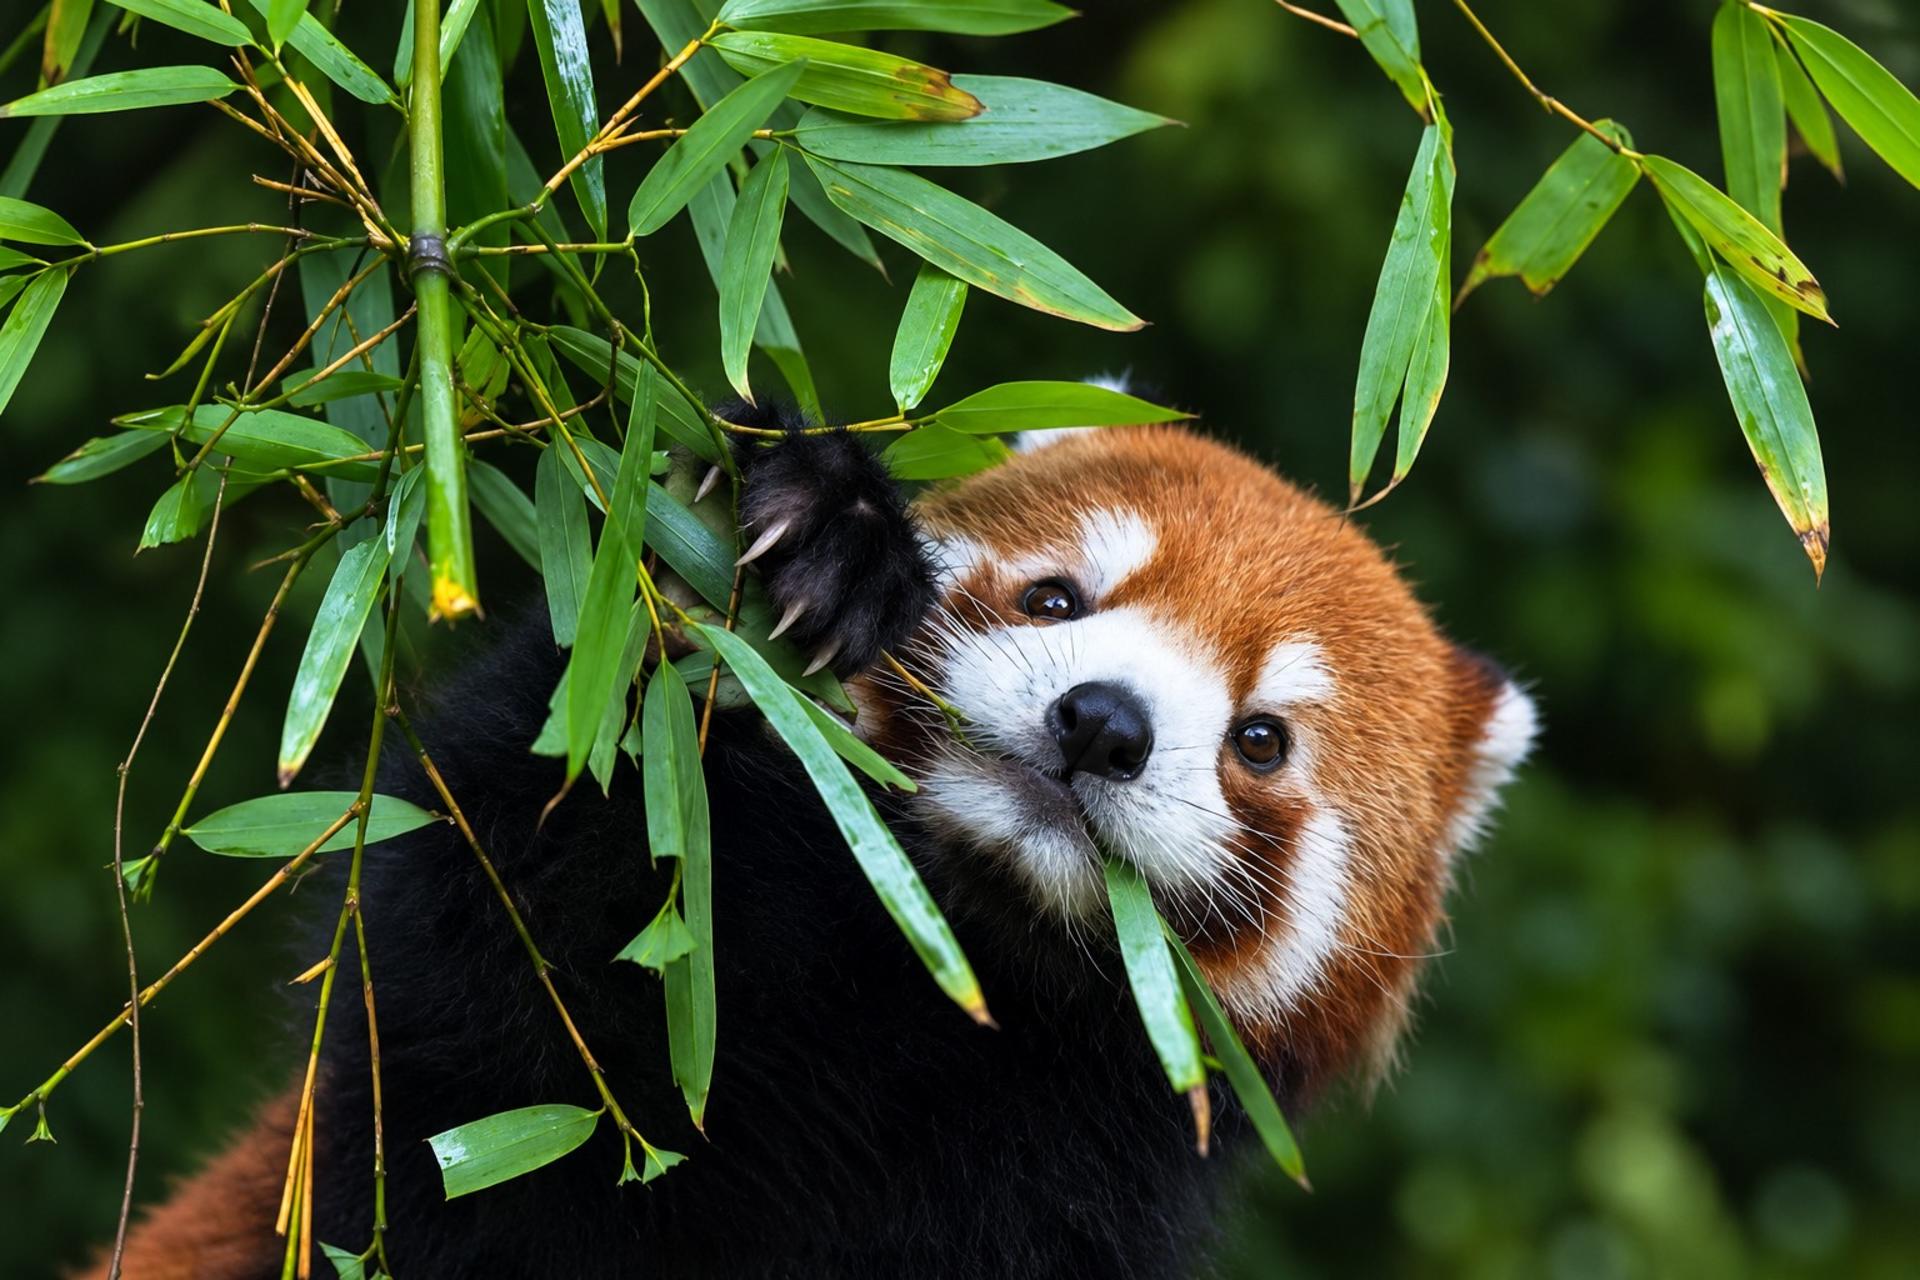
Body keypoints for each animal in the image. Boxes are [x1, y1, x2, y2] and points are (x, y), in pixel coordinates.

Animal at [92, 410, 1536, 1278]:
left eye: (1261, 740)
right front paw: (818, 544)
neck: (930, 985)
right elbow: (495, 909)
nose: (1105, 722)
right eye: (1055, 597)